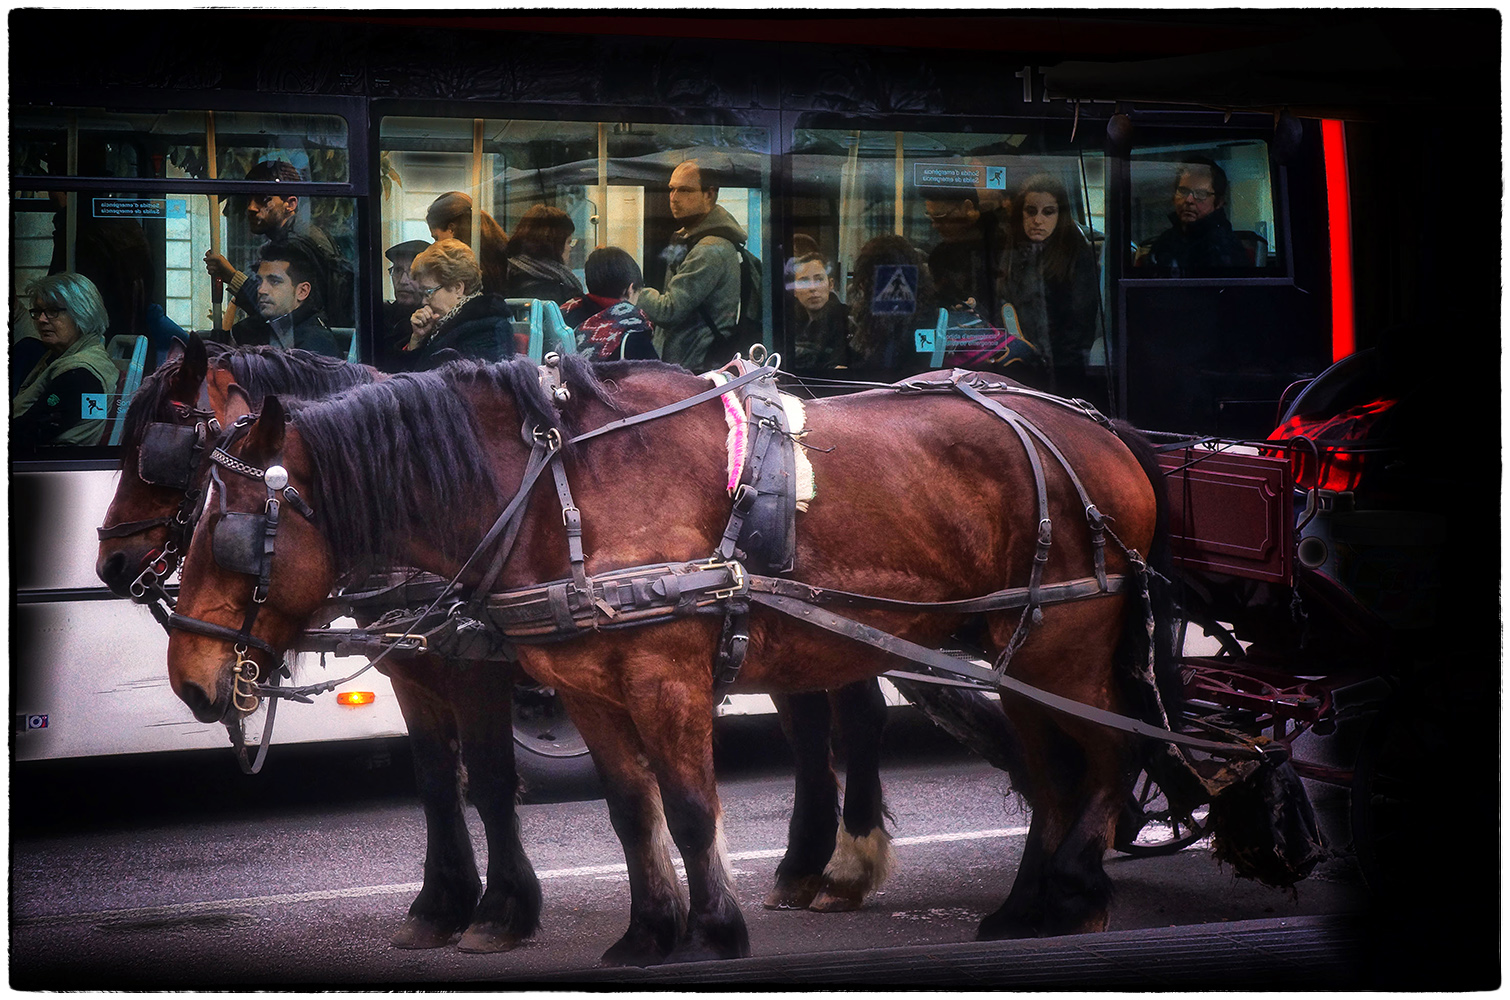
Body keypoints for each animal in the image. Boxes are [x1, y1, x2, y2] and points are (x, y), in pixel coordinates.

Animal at [162, 356, 1165, 966]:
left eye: (230, 534)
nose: (191, 681)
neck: (561, 493)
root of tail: (1103, 432)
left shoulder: (665, 679)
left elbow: (687, 810)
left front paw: (713, 933)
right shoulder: (590, 691)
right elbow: (629, 812)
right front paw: (649, 931)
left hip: (1068, 641)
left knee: (1110, 751)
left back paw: (1073, 887)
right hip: (1012, 645)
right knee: (1051, 767)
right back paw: (1028, 905)